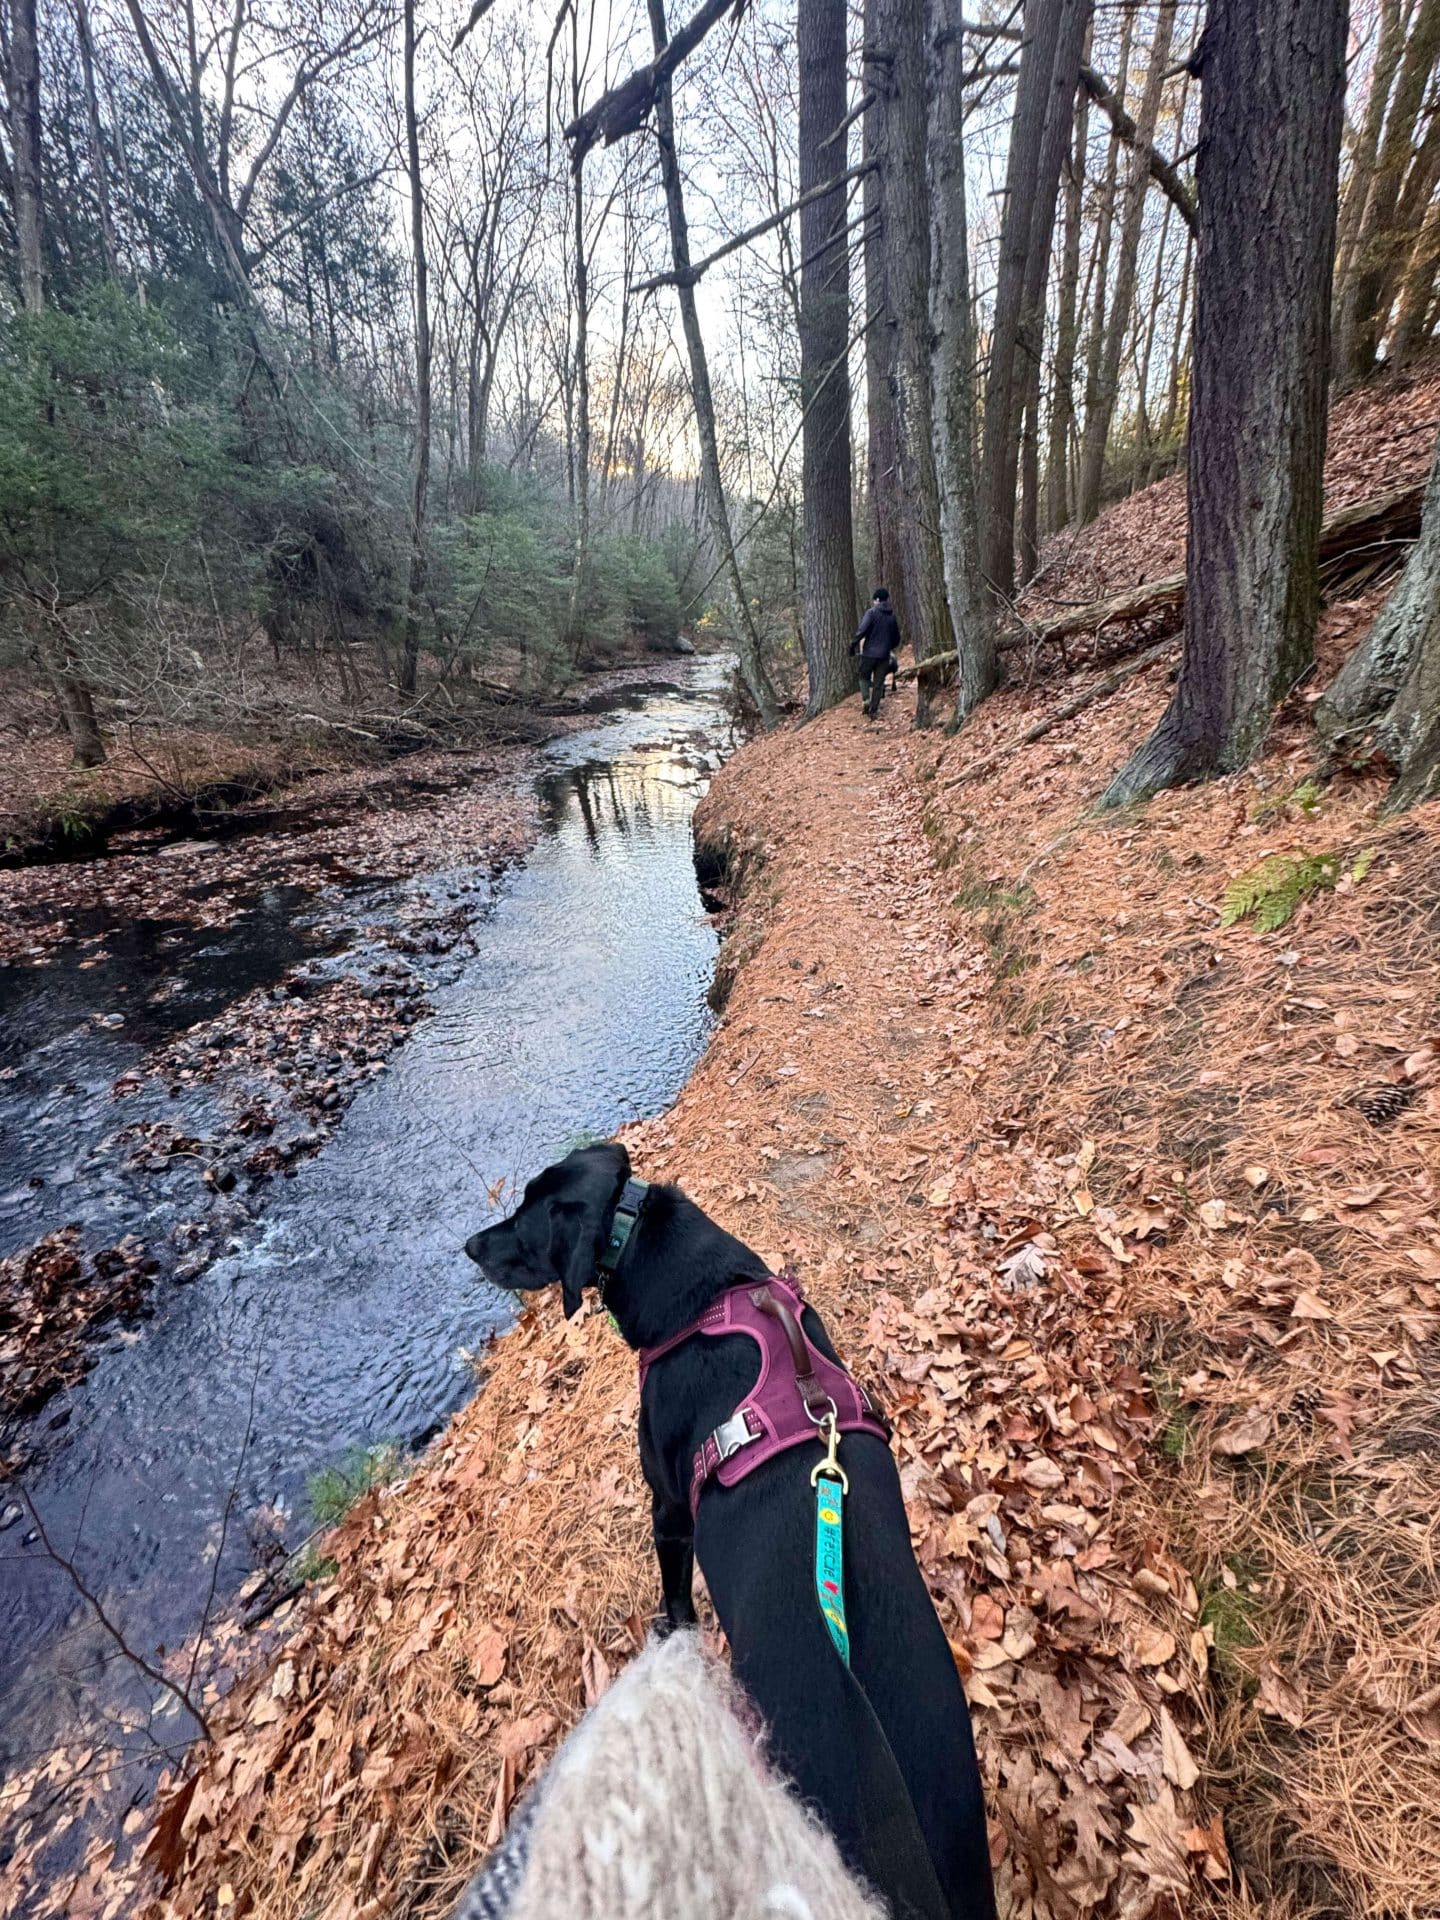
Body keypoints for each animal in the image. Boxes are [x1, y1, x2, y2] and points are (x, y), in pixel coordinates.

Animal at [468, 1136, 998, 1920]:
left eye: (525, 1221)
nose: (470, 1245)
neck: (702, 1292)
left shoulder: (668, 1508)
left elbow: (676, 1596)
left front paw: (673, 1636)